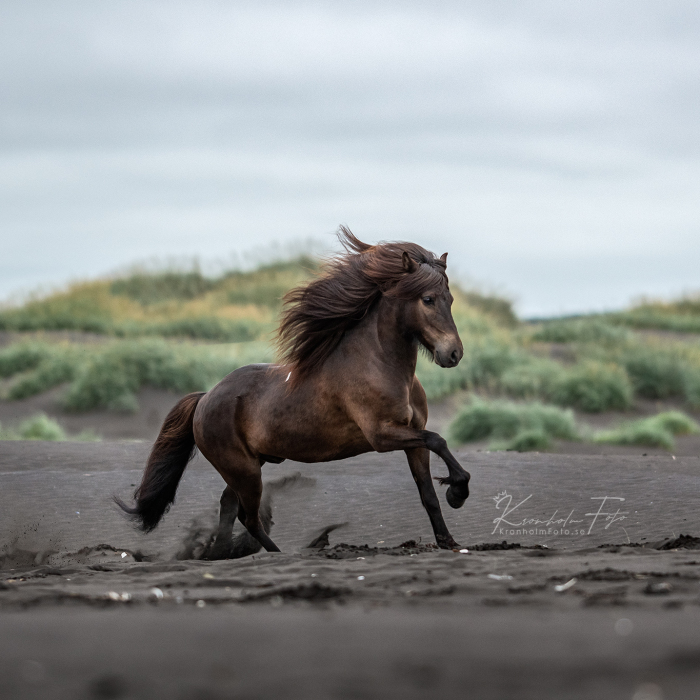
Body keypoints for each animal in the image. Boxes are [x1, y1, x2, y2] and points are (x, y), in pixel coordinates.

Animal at [117, 228, 474, 552]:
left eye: (451, 299)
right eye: (427, 299)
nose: (454, 354)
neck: (379, 364)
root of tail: (205, 398)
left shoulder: (412, 436)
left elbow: (428, 492)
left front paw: (448, 538)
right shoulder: (382, 435)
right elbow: (439, 440)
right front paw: (458, 491)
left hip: (249, 466)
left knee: (228, 507)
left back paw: (223, 554)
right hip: (244, 470)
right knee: (247, 516)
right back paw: (278, 553)